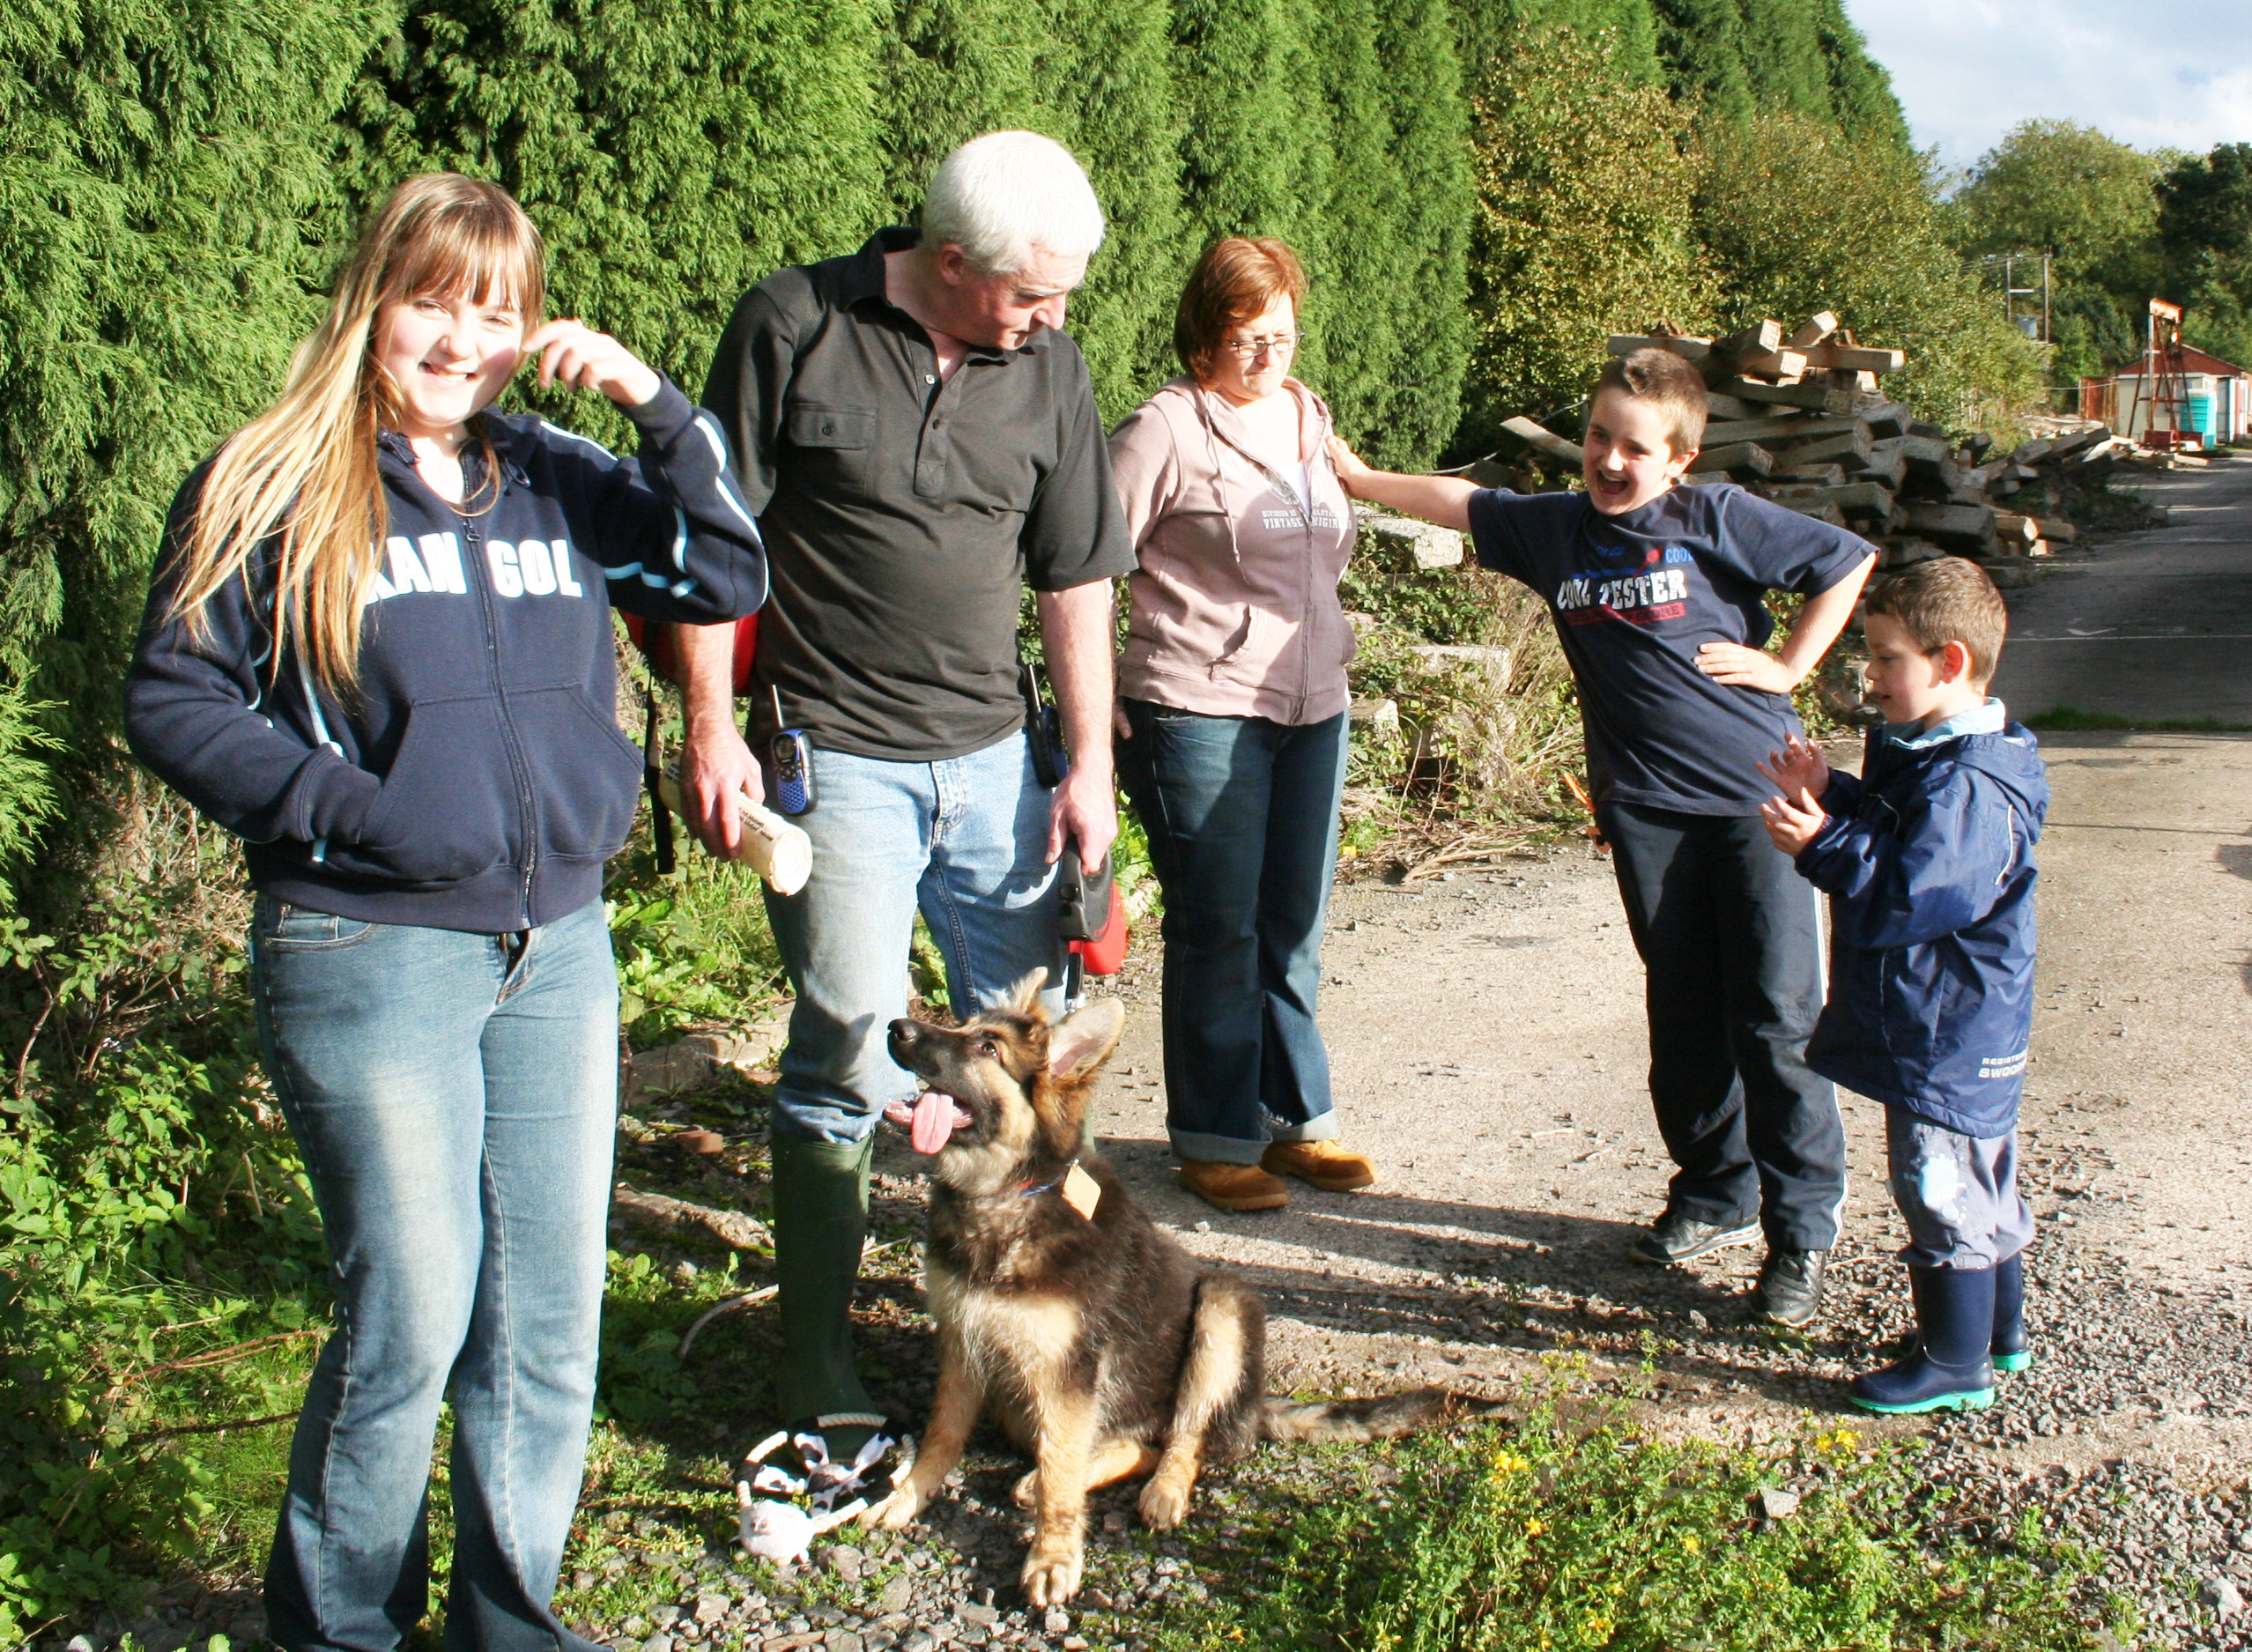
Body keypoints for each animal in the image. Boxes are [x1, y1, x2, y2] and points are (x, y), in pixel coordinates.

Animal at [860, 976, 1459, 1611]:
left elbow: (1063, 1482)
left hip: (1221, 1305)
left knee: (1182, 1435)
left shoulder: (1067, 1374)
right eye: (962, 1026)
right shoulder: (963, 1346)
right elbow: (941, 1438)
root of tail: (1253, 1406)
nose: (896, 1028)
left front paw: (1053, 1556)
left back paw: (1162, 1488)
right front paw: (906, 1497)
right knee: (1122, 1446)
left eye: (987, 1048)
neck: (1006, 1195)